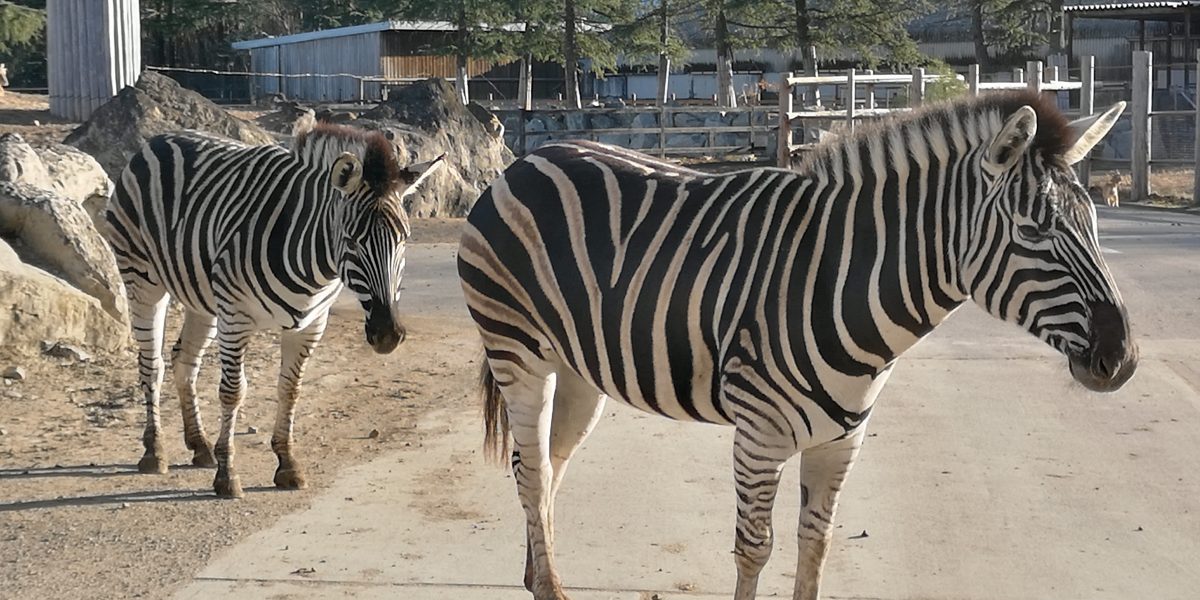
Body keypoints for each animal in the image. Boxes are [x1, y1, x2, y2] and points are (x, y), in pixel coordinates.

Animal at [105, 124, 444, 499]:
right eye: (352, 241)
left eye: (403, 239)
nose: (386, 335)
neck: (314, 263)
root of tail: (159, 138)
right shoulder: (236, 315)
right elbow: (233, 391)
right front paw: (227, 475)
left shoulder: (311, 324)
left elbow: (290, 389)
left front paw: (287, 464)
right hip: (143, 279)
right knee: (152, 365)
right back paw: (155, 451)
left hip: (201, 296)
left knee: (185, 361)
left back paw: (200, 445)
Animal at [456, 90, 1132, 600]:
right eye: (1034, 232)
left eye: (1097, 224)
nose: (1121, 359)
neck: (843, 283)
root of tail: (527, 159)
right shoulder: (759, 436)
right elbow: (755, 548)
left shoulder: (842, 439)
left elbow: (817, 542)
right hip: (517, 352)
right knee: (531, 468)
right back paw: (549, 587)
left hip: (578, 368)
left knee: (548, 462)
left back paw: (537, 574)